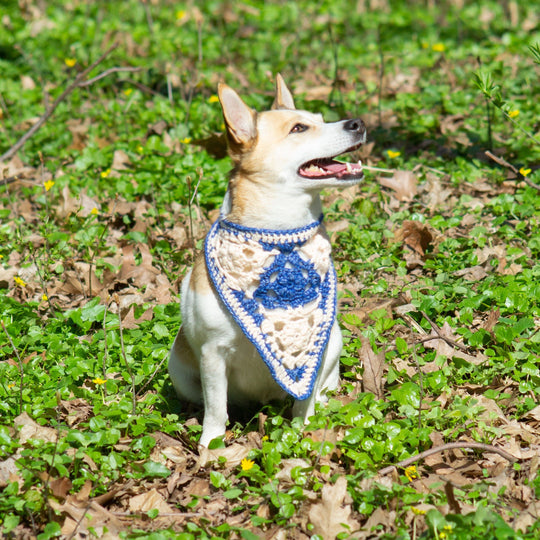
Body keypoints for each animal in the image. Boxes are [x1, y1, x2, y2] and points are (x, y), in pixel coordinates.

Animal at [169, 76, 368, 448]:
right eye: (299, 128)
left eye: (320, 119)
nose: (358, 123)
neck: (279, 235)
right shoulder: (213, 354)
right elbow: (216, 408)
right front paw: (211, 446)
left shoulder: (314, 349)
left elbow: (304, 402)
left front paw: (302, 434)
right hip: (179, 368)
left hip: (333, 340)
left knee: (322, 390)